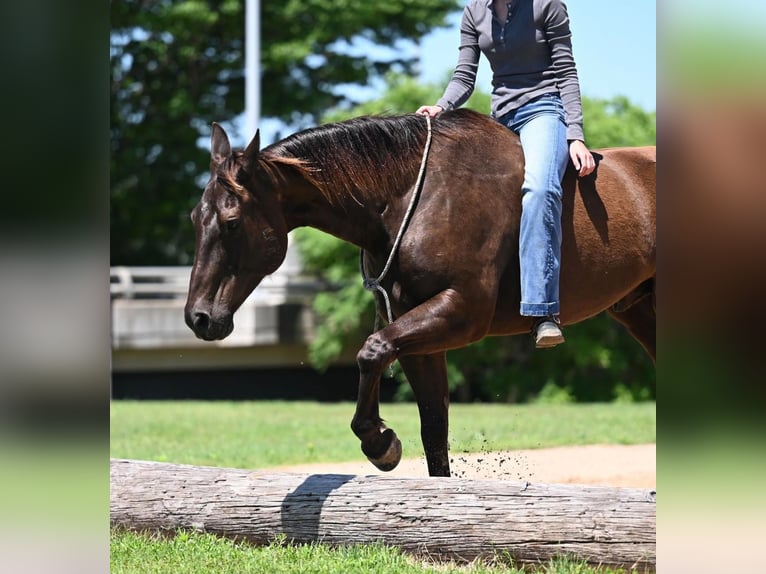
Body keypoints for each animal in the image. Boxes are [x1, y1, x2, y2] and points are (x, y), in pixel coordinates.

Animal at [183, 110, 656, 480]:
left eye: (231, 222)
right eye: (194, 217)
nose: (198, 318)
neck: (414, 195)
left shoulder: (460, 313)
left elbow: (371, 351)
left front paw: (380, 443)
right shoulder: (420, 339)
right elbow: (433, 429)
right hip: (640, 311)